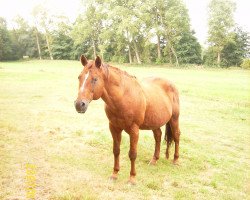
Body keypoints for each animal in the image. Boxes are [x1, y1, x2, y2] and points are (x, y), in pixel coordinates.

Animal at [73, 54, 180, 184]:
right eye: (79, 77)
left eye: (95, 79)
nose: (79, 104)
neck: (123, 97)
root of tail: (170, 84)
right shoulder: (114, 127)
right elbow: (116, 150)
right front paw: (114, 174)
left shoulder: (134, 130)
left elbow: (132, 154)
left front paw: (132, 178)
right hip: (155, 122)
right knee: (158, 136)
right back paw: (154, 160)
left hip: (174, 119)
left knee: (176, 135)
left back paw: (176, 161)